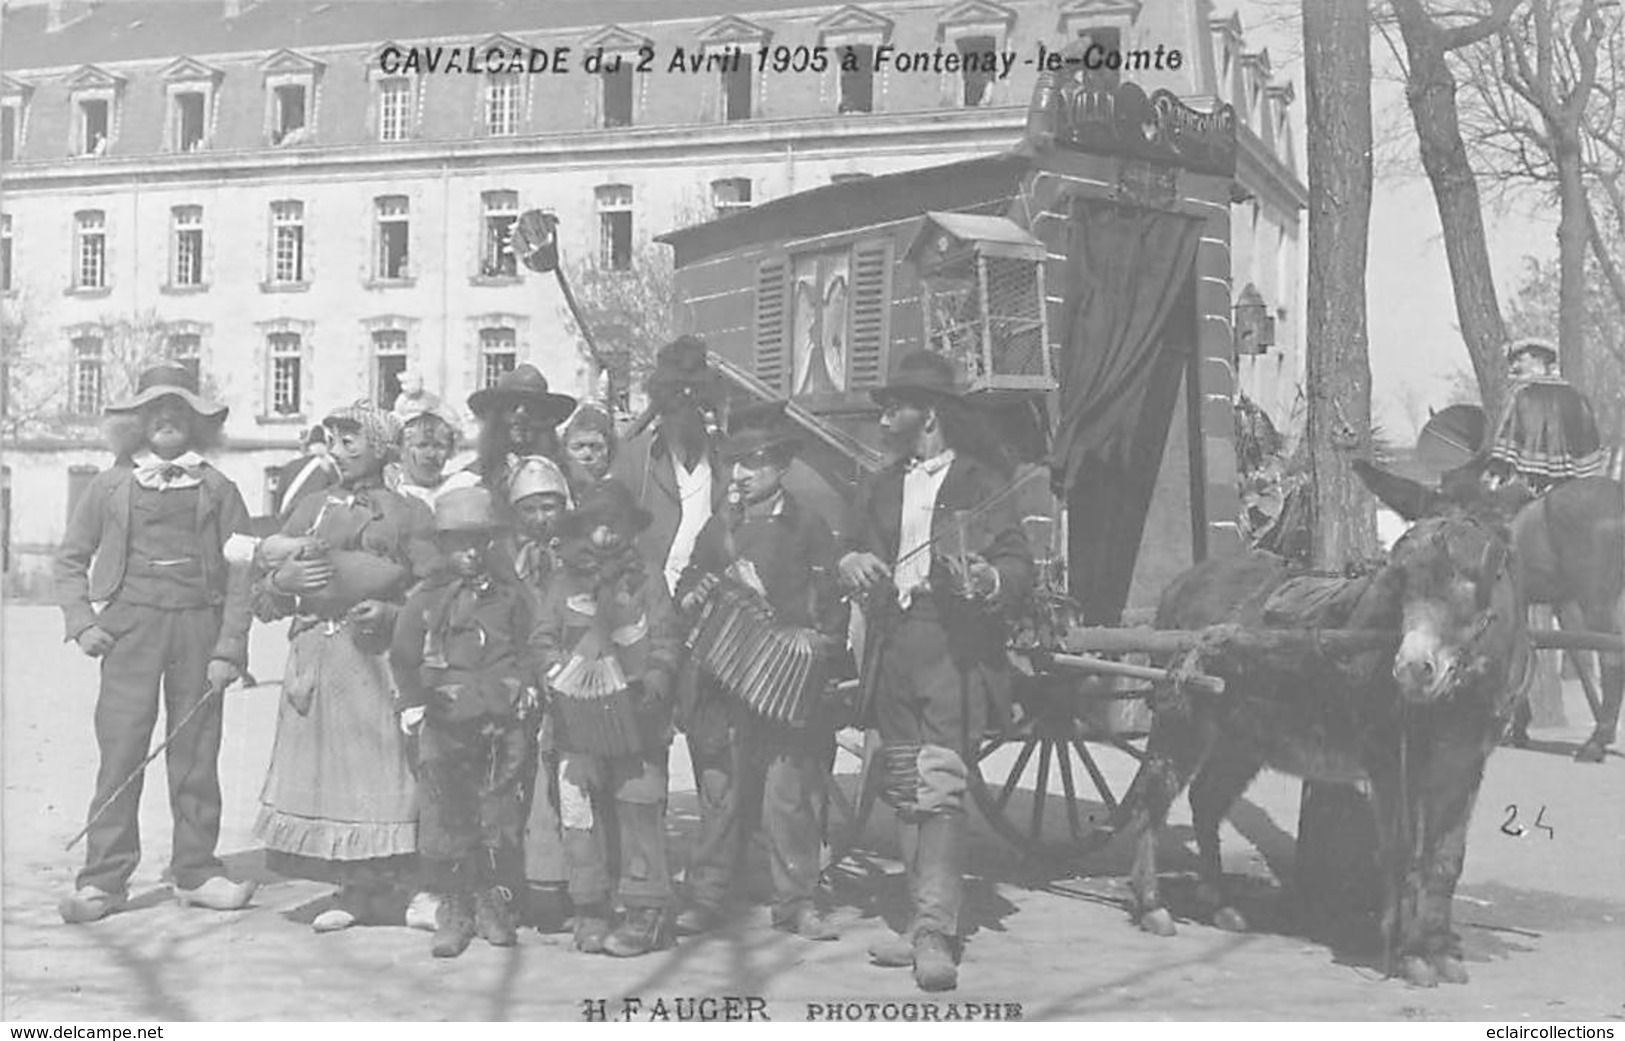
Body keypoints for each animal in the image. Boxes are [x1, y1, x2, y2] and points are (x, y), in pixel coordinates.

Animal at [1124, 461, 1527, 980]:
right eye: (1401, 574)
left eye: (1487, 572)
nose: (1413, 669)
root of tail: (1184, 579)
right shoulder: (1388, 759)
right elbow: (1402, 853)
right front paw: (1409, 954)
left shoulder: (1466, 764)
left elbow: (1446, 859)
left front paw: (1439, 950)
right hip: (1183, 715)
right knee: (1154, 794)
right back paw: (1152, 904)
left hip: (1243, 736)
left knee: (1206, 800)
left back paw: (1219, 903)